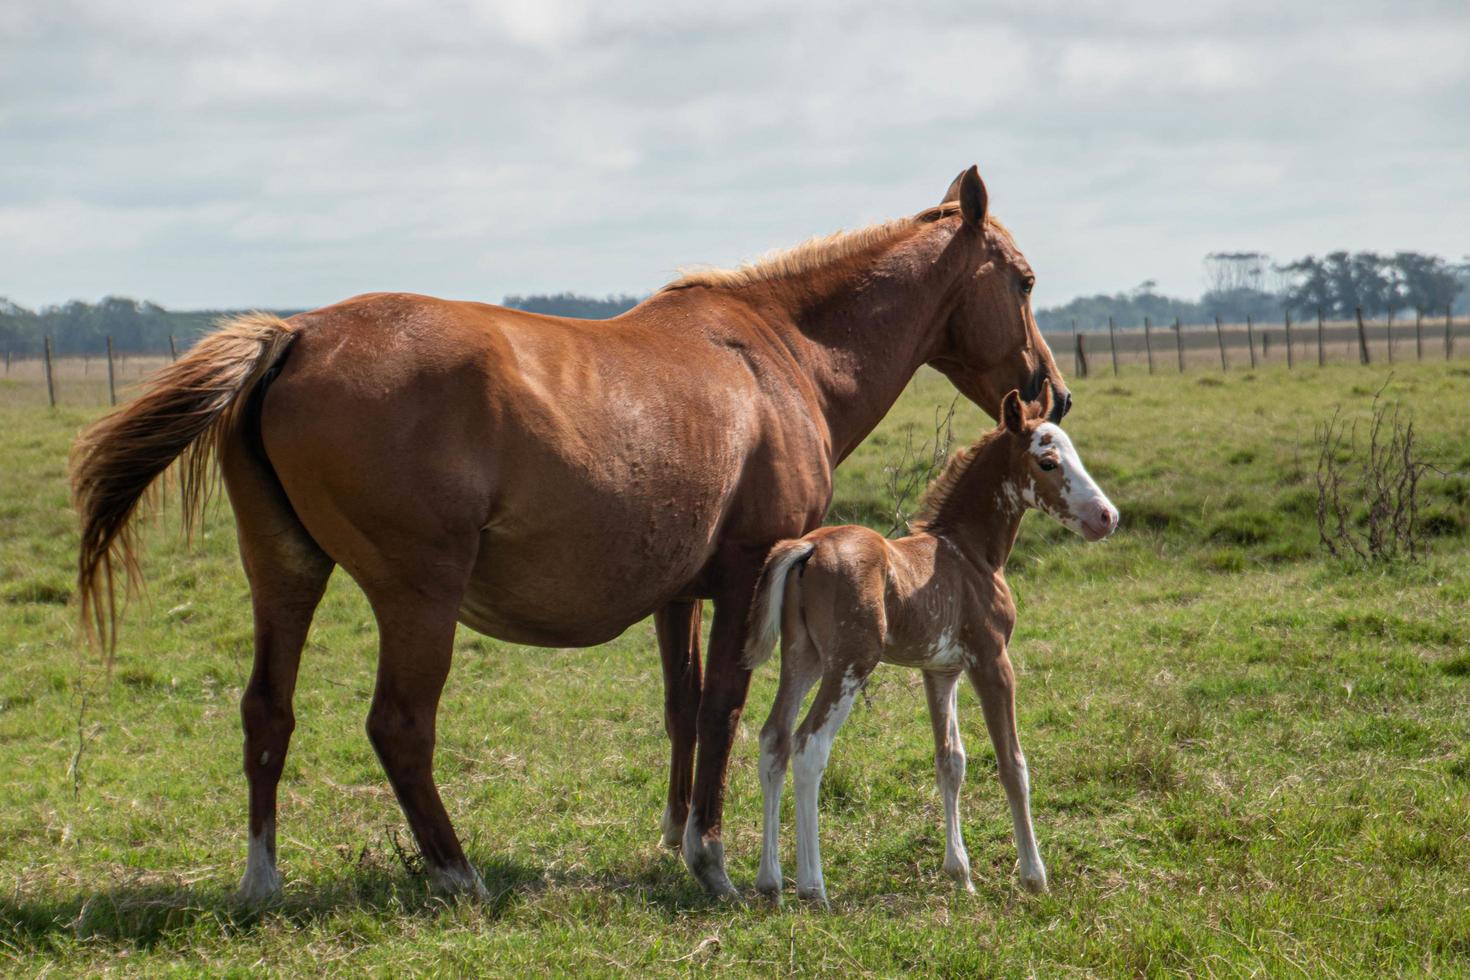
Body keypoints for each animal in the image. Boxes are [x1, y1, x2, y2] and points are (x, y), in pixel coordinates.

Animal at [746, 387, 1111, 905]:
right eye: (1047, 461)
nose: (1106, 516)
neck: (969, 553)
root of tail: (809, 547)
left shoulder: (940, 671)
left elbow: (950, 761)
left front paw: (960, 873)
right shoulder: (991, 661)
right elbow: (1011, 764)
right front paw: (1033, 876)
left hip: (803, 659)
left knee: (773, 739)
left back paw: (770, 879)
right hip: (850, 664)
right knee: (809, 746)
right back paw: (813, 886)